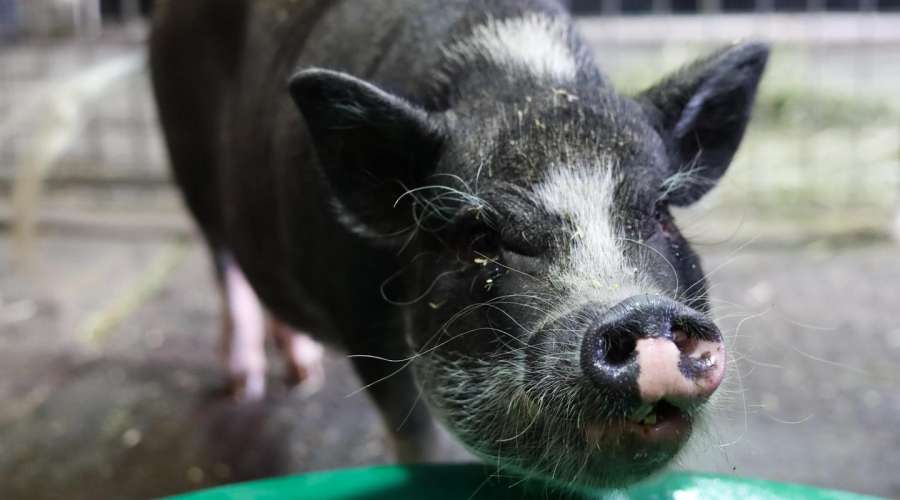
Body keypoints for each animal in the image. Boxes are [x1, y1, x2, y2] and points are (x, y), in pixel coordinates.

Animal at [149, 0, 767, 488]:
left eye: (660, 216)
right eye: (479, 236)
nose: (641, 313)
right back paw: (244, 386)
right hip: (188, 171)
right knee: (224, 262)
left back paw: (303, 376)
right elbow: (413, 434)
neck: (523, 86)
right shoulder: (362, 325)